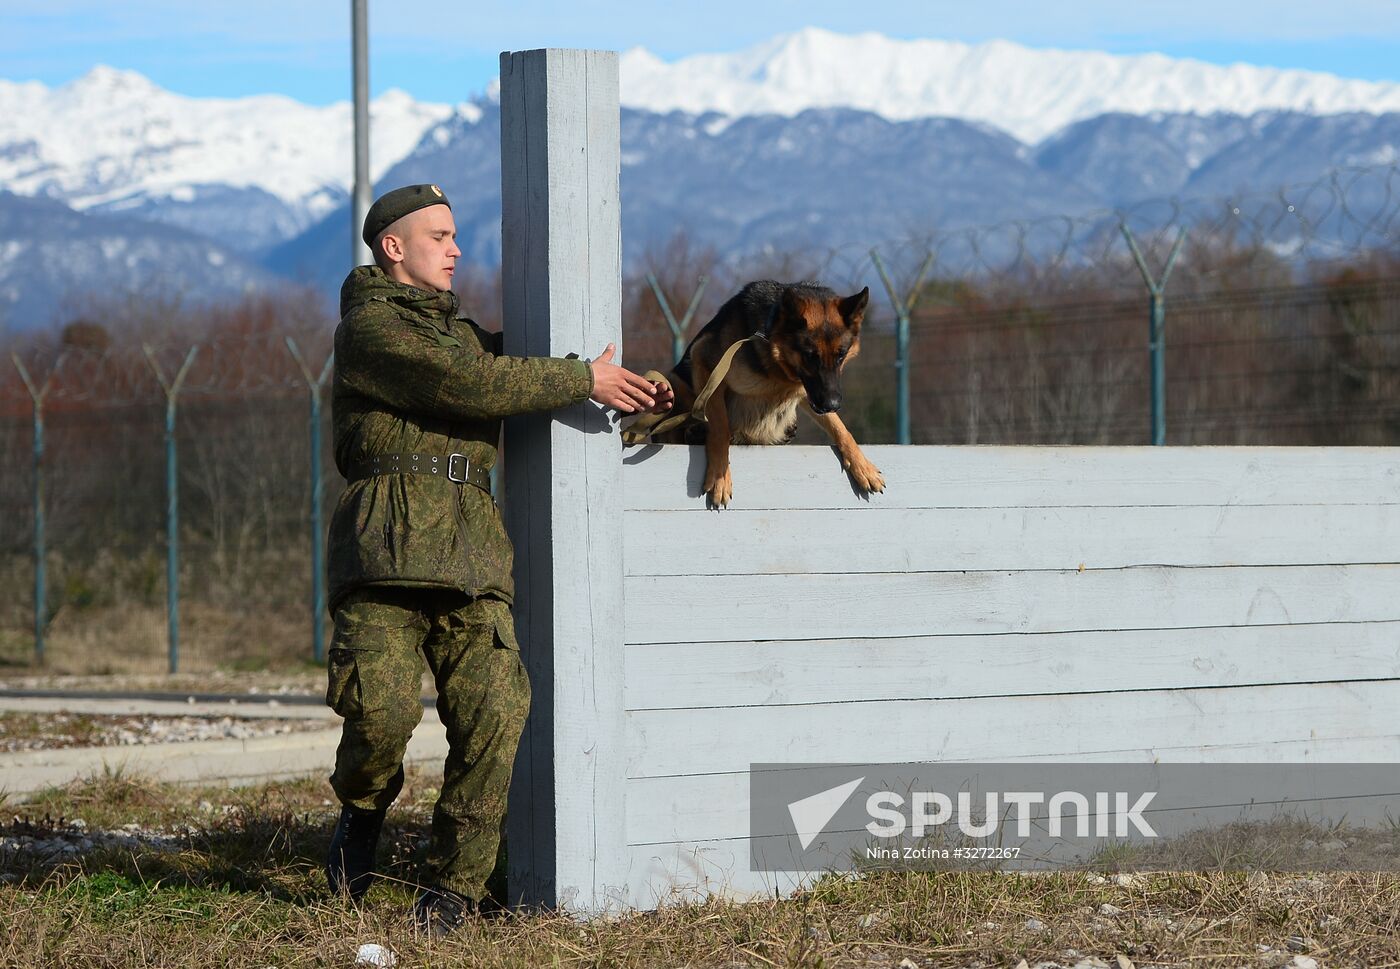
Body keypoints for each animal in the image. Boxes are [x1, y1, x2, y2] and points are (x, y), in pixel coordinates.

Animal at [652, 278, 884, 506]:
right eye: (810, 356)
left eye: (841, 355)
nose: (832, 405)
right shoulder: (704, 361)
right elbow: (720, 428)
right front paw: (720, 476)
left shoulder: (808, 392)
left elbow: (840, 428)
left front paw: (863, 466)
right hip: (672, 385)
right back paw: (694, 433)